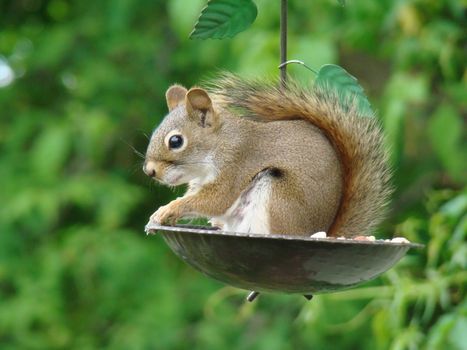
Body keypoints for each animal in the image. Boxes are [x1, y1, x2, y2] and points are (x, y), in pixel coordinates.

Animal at [143, 74, 392, 238]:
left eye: (176, 141)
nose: (149, 171)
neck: (219, 144)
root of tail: (319, 232)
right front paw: (159, 216)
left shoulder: (236, 164)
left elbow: (216, 200)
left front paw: (168, 209)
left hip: (280, 196)